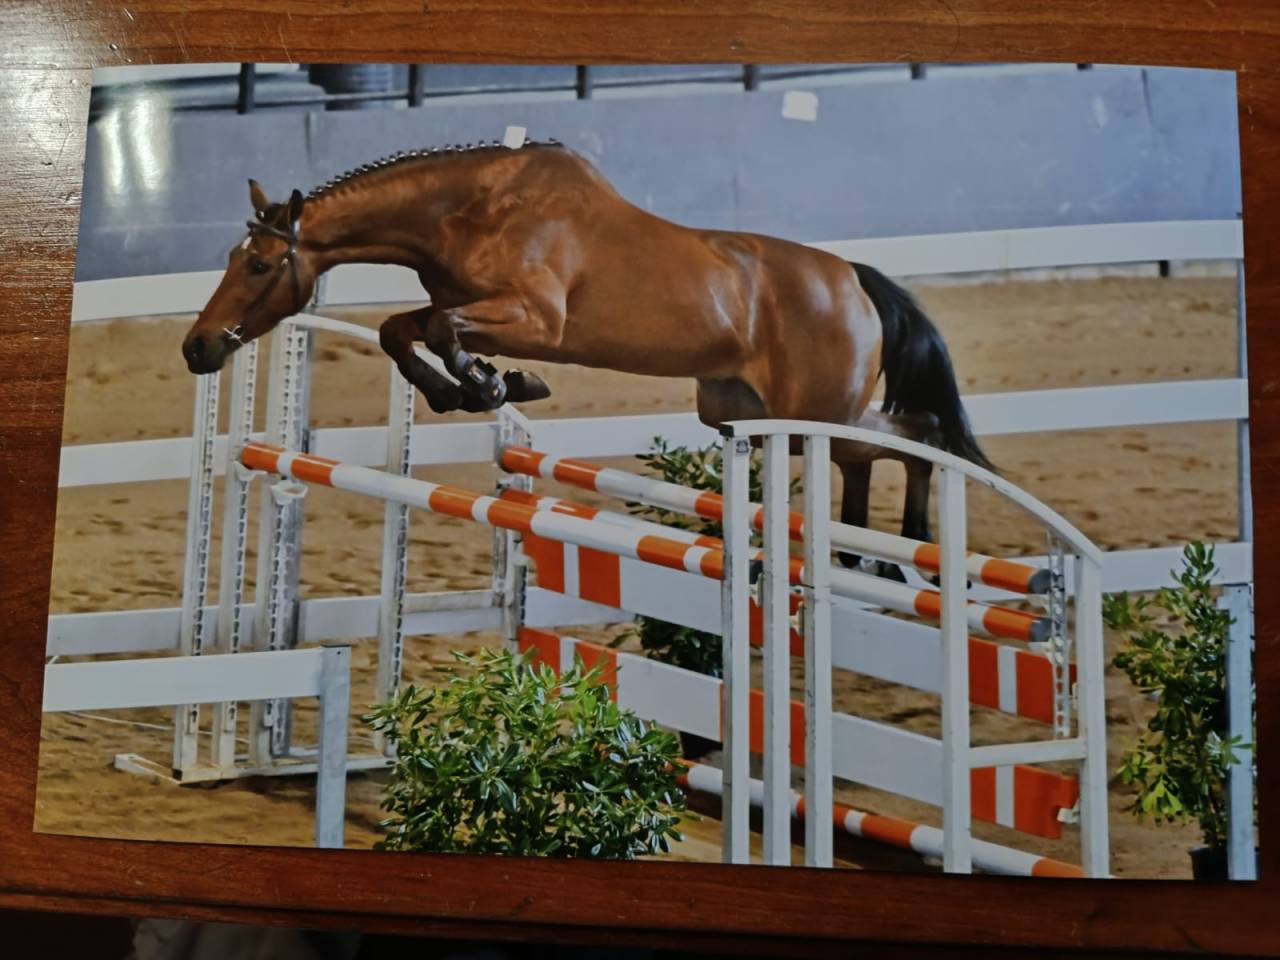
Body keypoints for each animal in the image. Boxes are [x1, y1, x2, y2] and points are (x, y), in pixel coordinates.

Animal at [182, 139, 992, 572]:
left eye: (260, 266)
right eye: (232, 258)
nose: (197, 347)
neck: (474, 209)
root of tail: (852, 278)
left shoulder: (534, 319)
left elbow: (437, 330)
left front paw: (491, 384)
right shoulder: (469, 308)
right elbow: (402, 329)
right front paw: (472, 388)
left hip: (818, 409)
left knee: (912, 437)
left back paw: (904, 544)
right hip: (749, 411)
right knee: (883, 448)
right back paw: (866, 549)